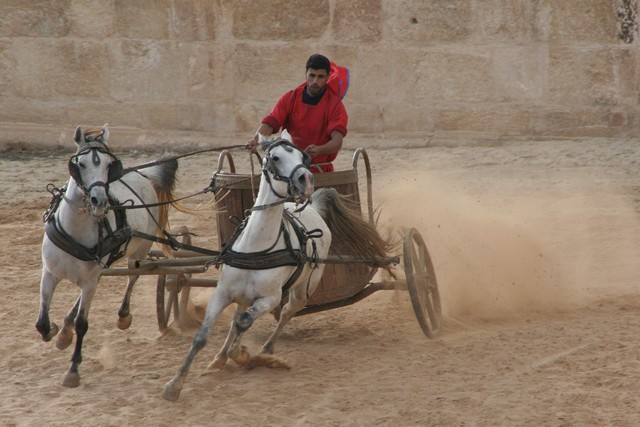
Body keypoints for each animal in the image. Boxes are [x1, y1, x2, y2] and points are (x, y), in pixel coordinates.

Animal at [36, 123, 181, 388]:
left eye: (107, 164)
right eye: (80, 164)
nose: (99, 201)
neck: (75, 228)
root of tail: (143, 174)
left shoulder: (90, 280)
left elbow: (83, 324)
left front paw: (73, 369)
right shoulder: (50, 272)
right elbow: (41, 321)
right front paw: (53, 331)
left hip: (139, 250)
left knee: (133, 276)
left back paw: (123, 316)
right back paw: (64, 332)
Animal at [162, 130, 390, 402]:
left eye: (303, 157)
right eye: (275, 157)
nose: (306, 180)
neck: (257, 247)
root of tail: (313, 208)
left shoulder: (270, 299)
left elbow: (244, 323)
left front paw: (242, 354)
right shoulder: (222, 293)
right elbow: (202, 336)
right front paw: (175, 384)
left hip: (302, 291)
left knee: (286, 312)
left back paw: (266, 349)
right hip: (244, 296)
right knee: (239, 316)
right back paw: (220, 357)